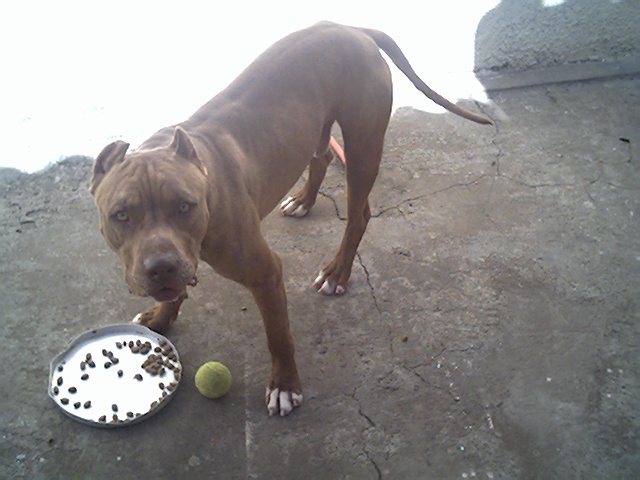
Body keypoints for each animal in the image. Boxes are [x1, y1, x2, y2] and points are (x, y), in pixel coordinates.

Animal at [90, 21, 492, 417]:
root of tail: (353, 27)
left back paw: (337, 273)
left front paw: (284, 386)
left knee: (358, 214)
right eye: (121, 215)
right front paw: (160, 317)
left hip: (363, 144)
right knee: (321, 158)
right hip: (314, 127)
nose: (161, 267)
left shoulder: (265, 272)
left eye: (184, 207)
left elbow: (278, 335)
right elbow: (176, 292)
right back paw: (303, 200)